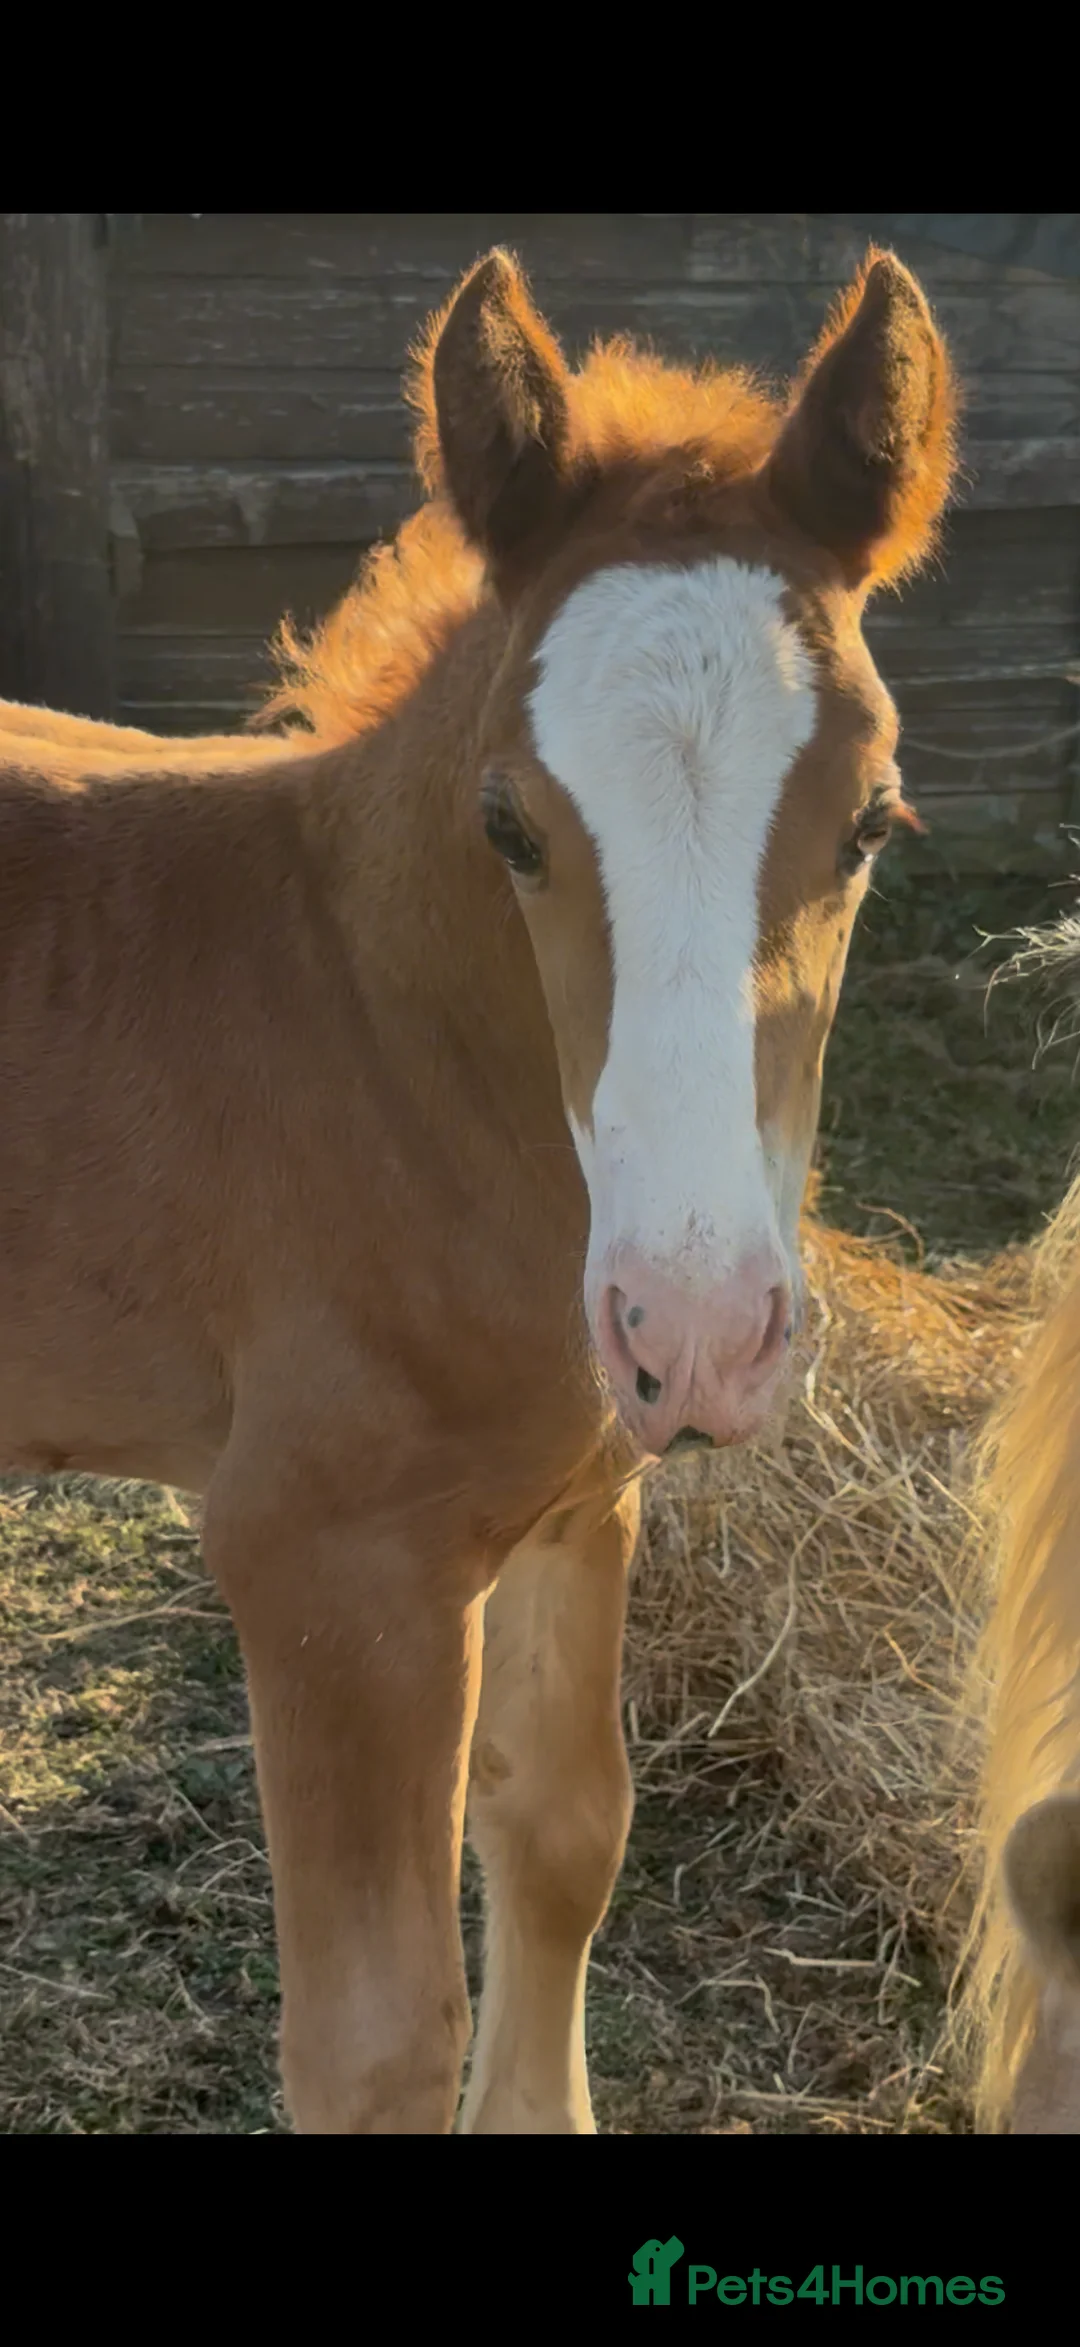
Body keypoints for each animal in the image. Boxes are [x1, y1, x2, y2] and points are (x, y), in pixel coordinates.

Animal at [0, 243, 957, 2134]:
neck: (383, 1046)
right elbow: (378, 2035)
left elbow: (563, 1832)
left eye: (874, 820)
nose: (698, 1328)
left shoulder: (582, 1490)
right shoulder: (327, 1558)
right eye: (510, 827)